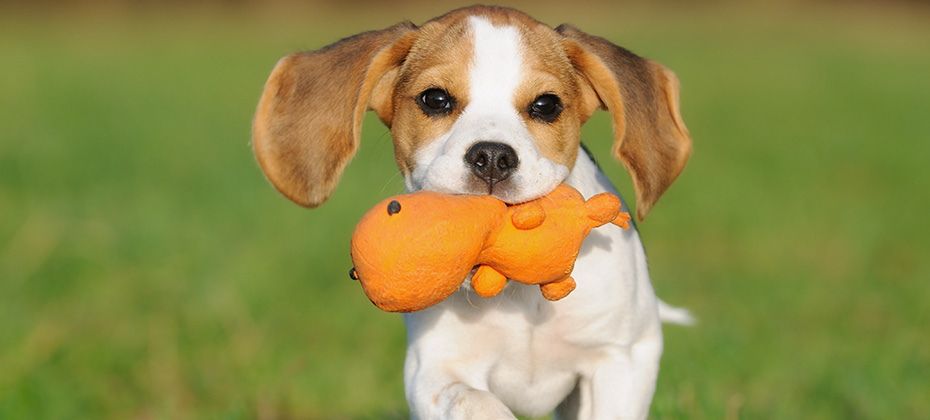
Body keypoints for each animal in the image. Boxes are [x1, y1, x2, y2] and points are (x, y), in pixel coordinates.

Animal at [252, 4, 688, 418]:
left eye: (546, 105)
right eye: (435, 99)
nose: (492, 156)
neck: (514, 289)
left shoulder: (623, 356)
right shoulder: (434, 368)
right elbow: (476, 402)